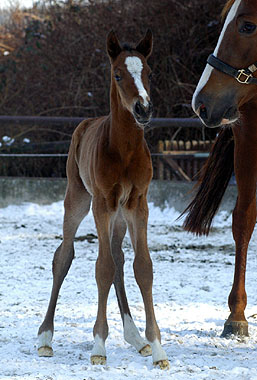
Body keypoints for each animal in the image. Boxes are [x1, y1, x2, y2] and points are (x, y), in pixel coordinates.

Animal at [36, 31, 168, 370]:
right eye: (118, 74)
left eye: (150, 73)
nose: (143, 109)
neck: (124, 150)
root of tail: (86, 124)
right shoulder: (102, 204)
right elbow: (103, 268)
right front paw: (98, 345)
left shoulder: (138, 205)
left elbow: (142, 267)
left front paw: (157, 349)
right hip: (77, 200)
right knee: (63, 256)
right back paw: (45, 338)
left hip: (119, 216)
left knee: (119, 258)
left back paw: (136, 338)